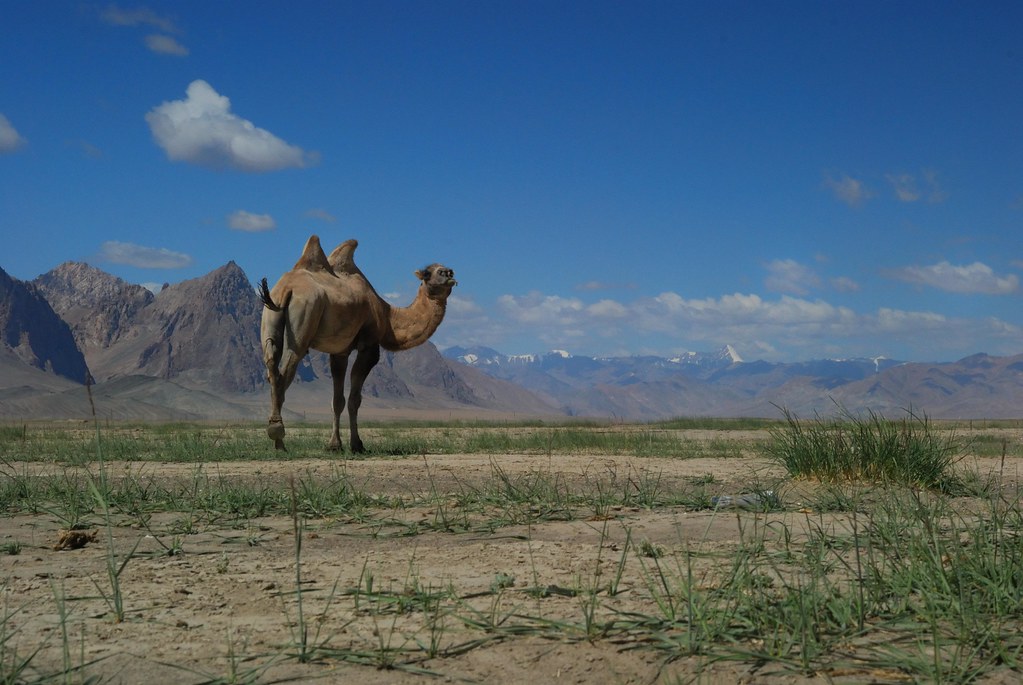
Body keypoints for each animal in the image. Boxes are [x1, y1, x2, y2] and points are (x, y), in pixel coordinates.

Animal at [258, 235, 457, 452]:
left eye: (444, 270)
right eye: (428, 273)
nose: (449, 273)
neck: (387, 317)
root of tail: (287, 289)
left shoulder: (340, 352)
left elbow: (337, 400)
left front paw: (334, 445)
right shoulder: (369, 346)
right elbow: (354, 399)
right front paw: (357, 444)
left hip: (270, 319)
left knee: (271, 365)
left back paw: (278, 439)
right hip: (304, 320)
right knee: (285, 372)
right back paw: (277, 435)